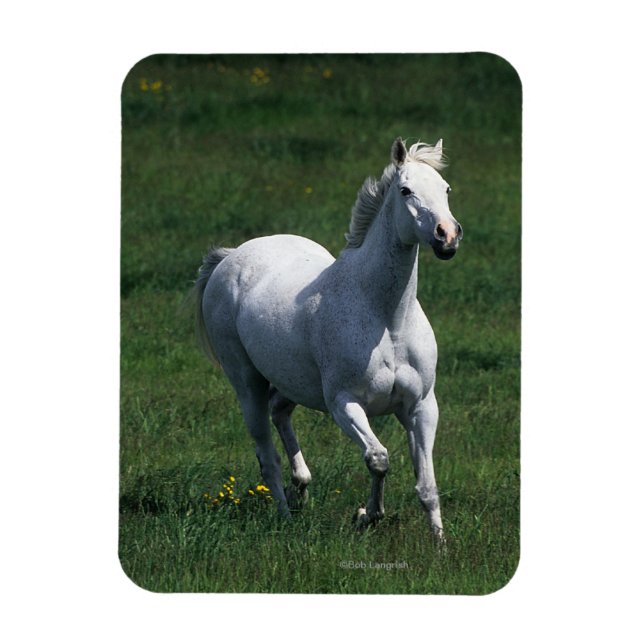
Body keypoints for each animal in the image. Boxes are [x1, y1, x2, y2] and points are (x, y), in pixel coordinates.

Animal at [194, 138, 462, 538]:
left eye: (445, 189)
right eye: (406, 190)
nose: (447, 236)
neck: (386, 319)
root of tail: (230, 256)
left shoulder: (421, 406)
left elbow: (427, 486)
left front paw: (439, 543)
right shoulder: (343, 403)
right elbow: (378, 458)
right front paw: (368, 514)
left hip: (291, 381)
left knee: (280, 413)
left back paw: (302, 488)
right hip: (246, 383)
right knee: (266, 455)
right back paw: (286, 515)